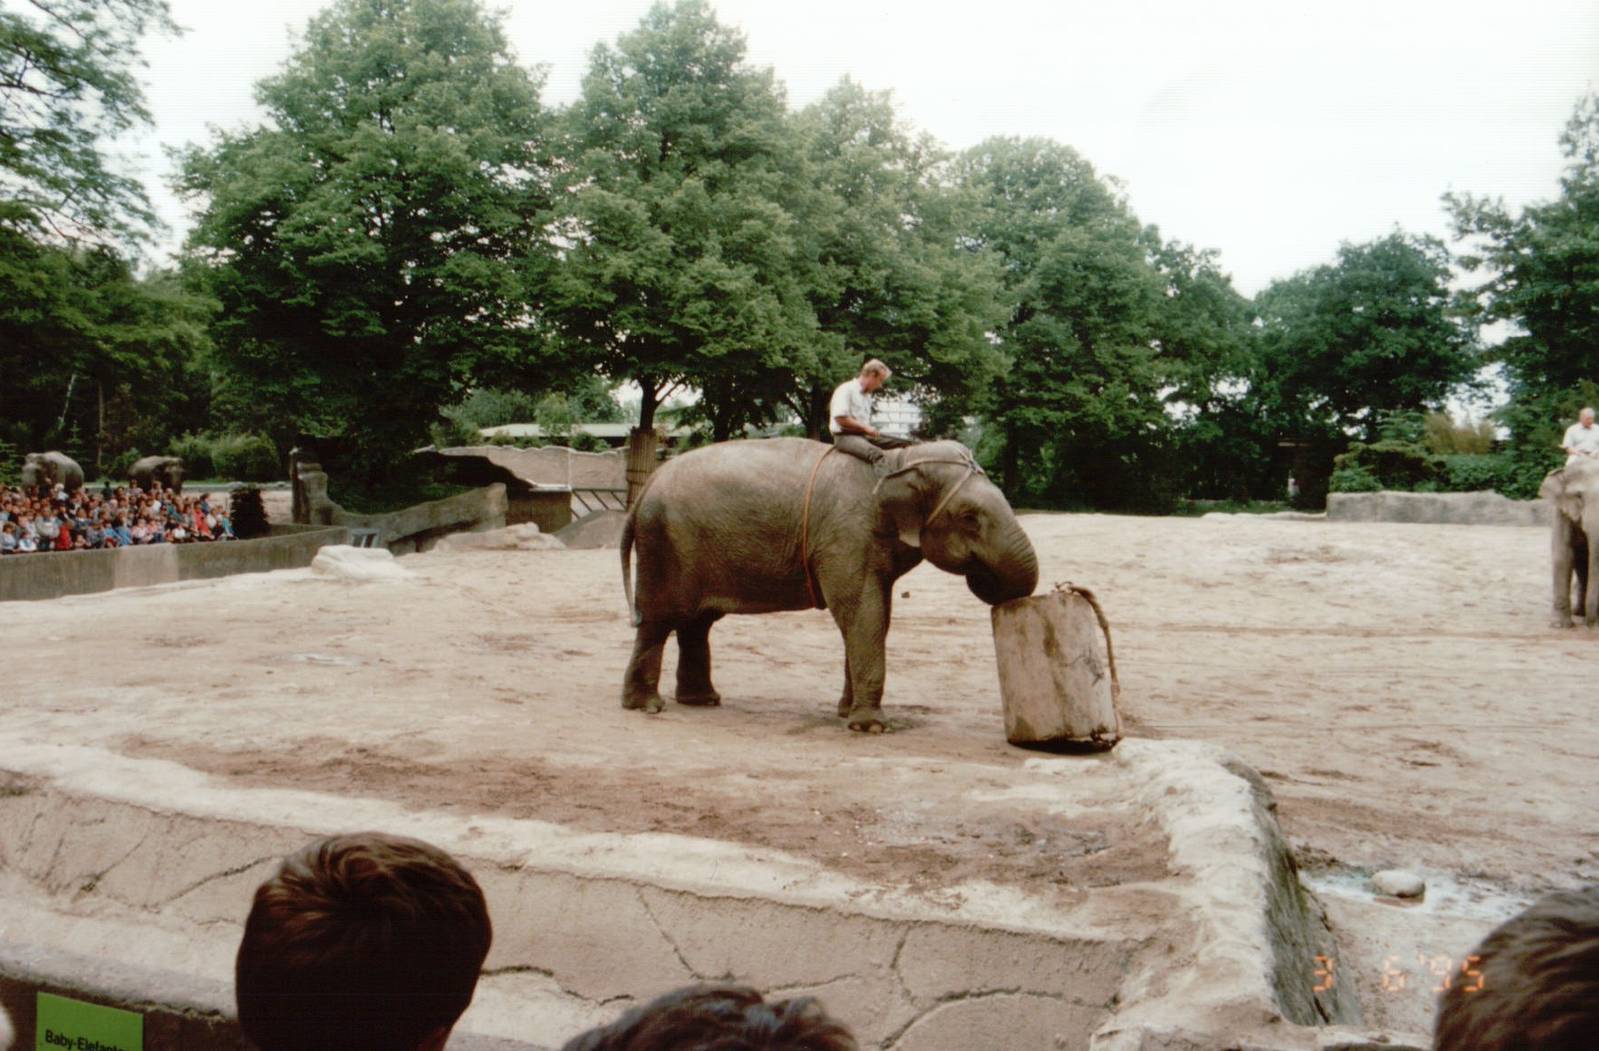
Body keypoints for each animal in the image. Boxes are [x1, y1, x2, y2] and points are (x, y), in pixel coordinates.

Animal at [620, 438, 1040, 732]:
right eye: (969, 517)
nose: (985, 579)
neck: (897, 462)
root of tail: (645, 488)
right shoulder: (844, 537)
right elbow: (861, 613)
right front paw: (870, 727)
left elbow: (875, 617)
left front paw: (846, 713)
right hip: (664, 545)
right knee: (659, 620)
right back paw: (648, 706)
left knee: (696, 623)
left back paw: (703, 700)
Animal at [1541, 459, 1599, 627]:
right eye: (1578, 496)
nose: (1591, 625)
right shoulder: (1561, 510)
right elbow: (1563, 554)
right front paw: (1559, 626)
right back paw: (1579, 613)